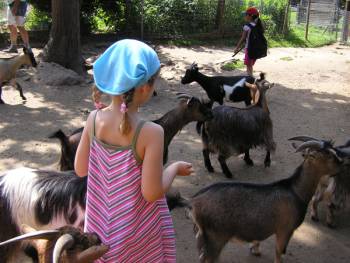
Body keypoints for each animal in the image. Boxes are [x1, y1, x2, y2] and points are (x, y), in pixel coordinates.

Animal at [179, 138, 348, 263]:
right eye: (329, 156)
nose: (343, 164)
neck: (295, 191)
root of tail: (193, 202)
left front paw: (255, 250)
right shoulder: (285, 230)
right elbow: (279, 252)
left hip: (202, 237)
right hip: (216, 238)